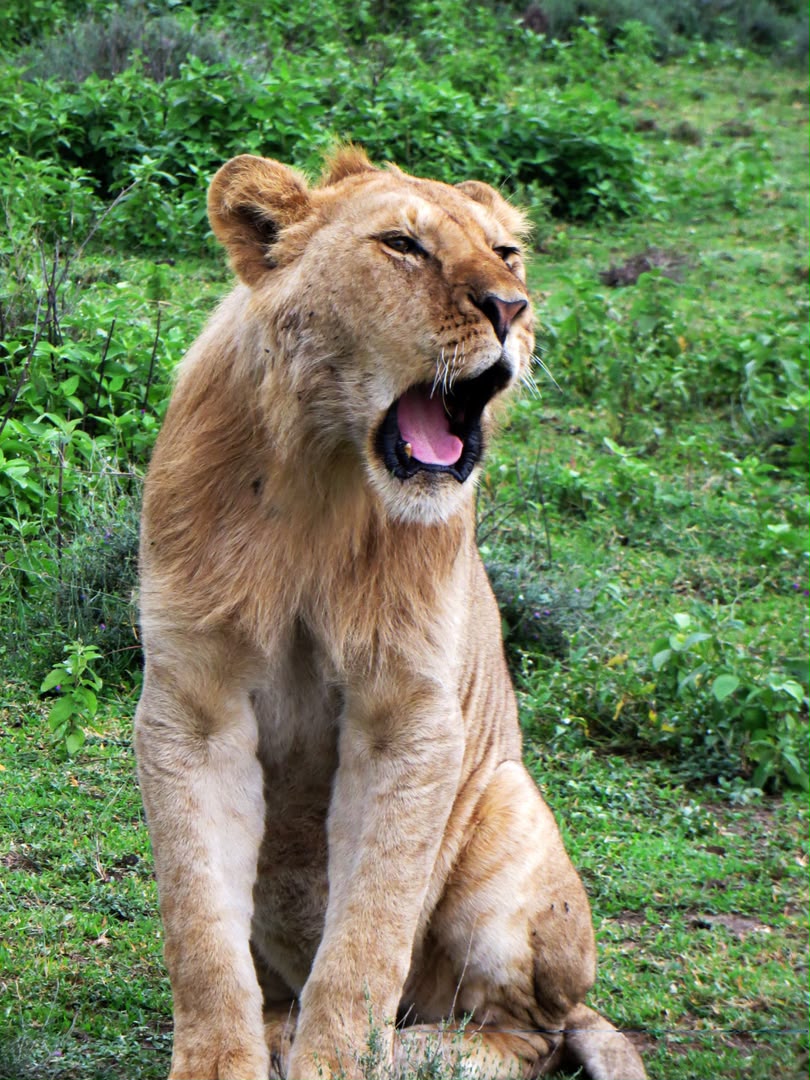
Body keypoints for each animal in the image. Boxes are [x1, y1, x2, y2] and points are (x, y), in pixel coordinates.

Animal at [134, 147, 647, 1080]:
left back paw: (407, 1054)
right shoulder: (193, 704)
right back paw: (278, 1028)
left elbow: (367, 934)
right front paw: (223, 1059)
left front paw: (336, 1062)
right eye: (403, 245)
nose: (510, 309)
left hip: (509, 805)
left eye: (508, 254)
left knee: (530, 1033)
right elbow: (199, 925)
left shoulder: (408, 716)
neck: (325, 476)